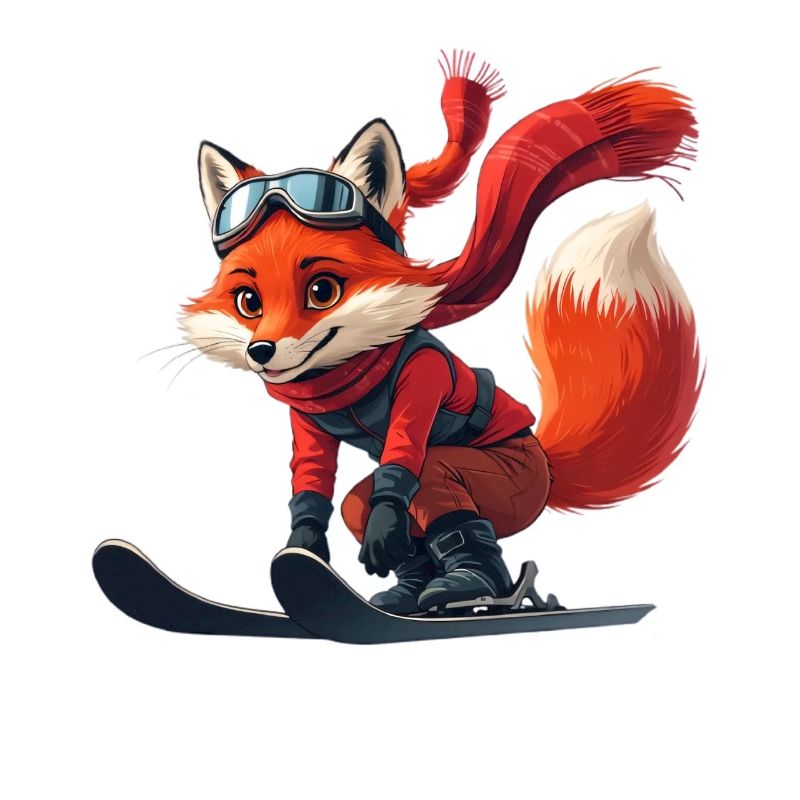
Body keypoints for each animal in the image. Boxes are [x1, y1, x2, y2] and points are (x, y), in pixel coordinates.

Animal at [181, 51, 701, 614]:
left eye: (322, 290)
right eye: (248, 302)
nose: (262, 351)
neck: (349, 375)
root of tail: (547, 464)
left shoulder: (423, 378)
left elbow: (402, 465)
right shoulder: (308, 424)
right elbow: (313, 486)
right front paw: (303, 555)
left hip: (507, 479)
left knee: (431, 484)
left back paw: (476, 586)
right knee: (366, 508)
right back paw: (412, 595)